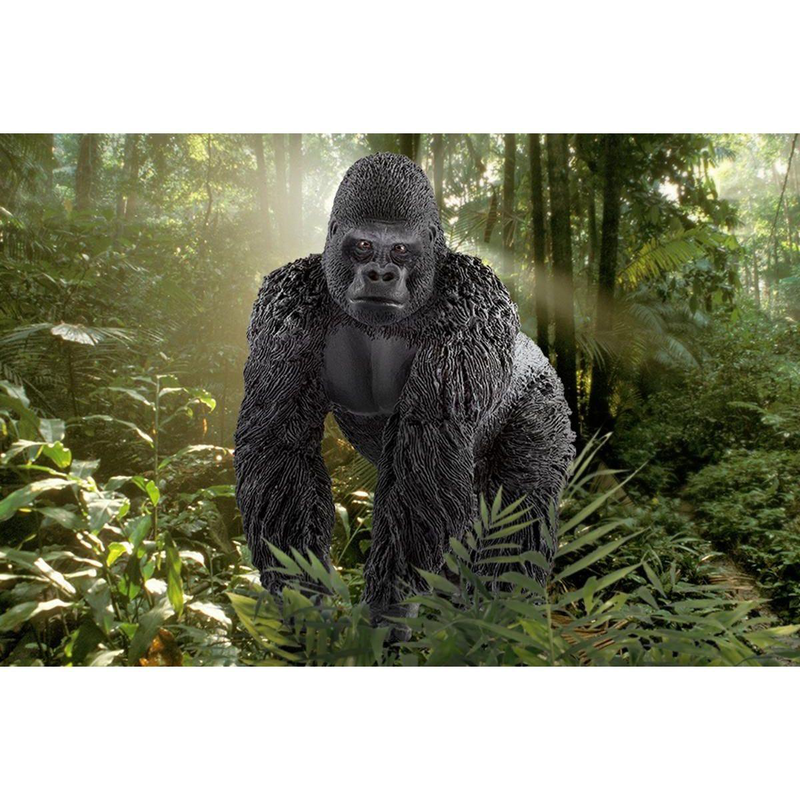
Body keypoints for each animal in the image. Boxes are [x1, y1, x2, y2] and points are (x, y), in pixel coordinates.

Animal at [234, 152, 575, 628]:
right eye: (362, 245)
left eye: (399, 249)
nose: (380, 273)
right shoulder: (283, 303)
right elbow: (279, 442)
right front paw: (302, 591)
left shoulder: (473, 300)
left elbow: (429, 443)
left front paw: (388, 604)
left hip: (544, 400)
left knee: (518, 516)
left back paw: (502, 618)